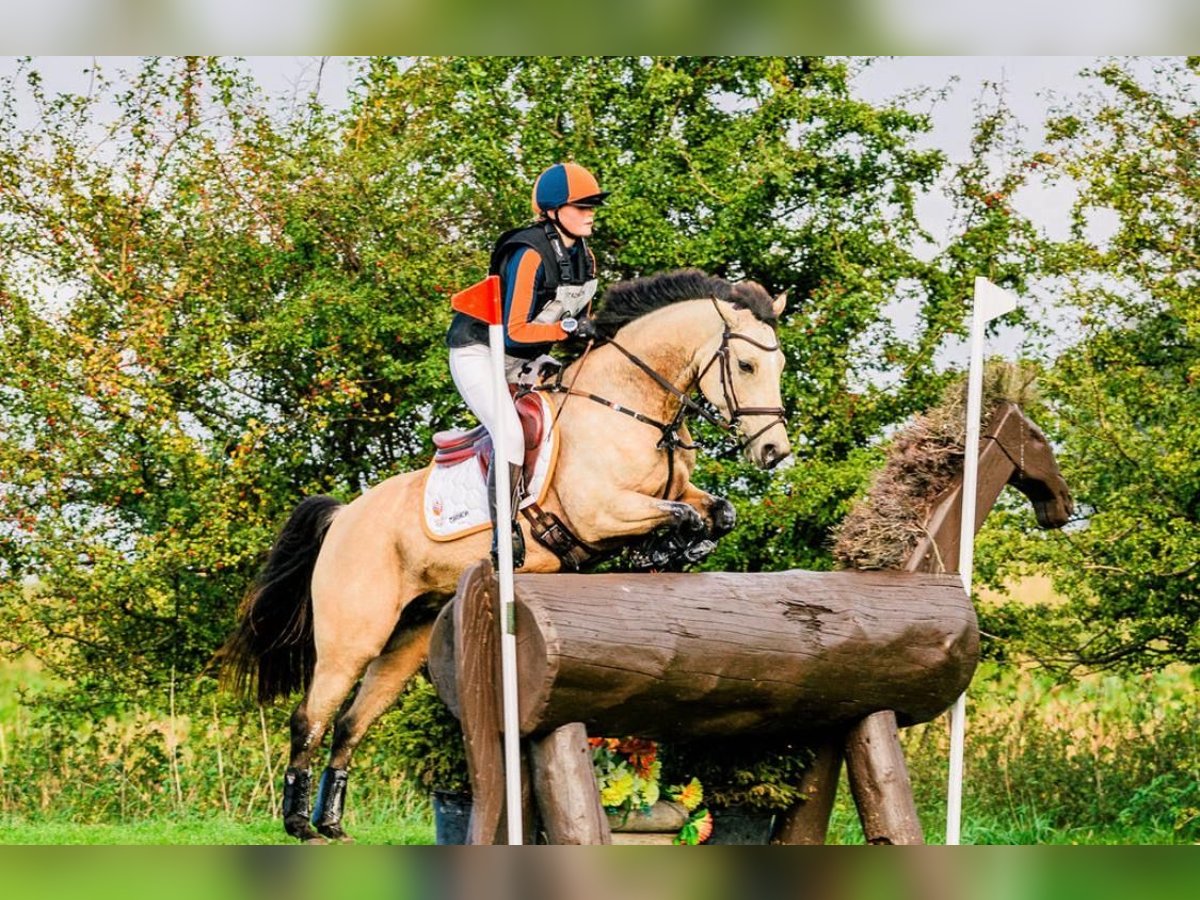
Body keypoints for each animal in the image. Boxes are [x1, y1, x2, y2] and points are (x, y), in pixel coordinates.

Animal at [220, 270, 792, 844]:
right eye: (746, 365)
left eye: (780, 365)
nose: (774, 453)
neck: (630, 407)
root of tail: (344, 517)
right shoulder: (601, 512)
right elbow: (683, 515)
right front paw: (664, 549)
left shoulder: (669, 493)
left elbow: (716, 511)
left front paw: (676, 549)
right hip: (353, 637)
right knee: (311, 717)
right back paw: (300, 823)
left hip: (408, 640)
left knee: (350, 722)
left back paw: (333, 823)